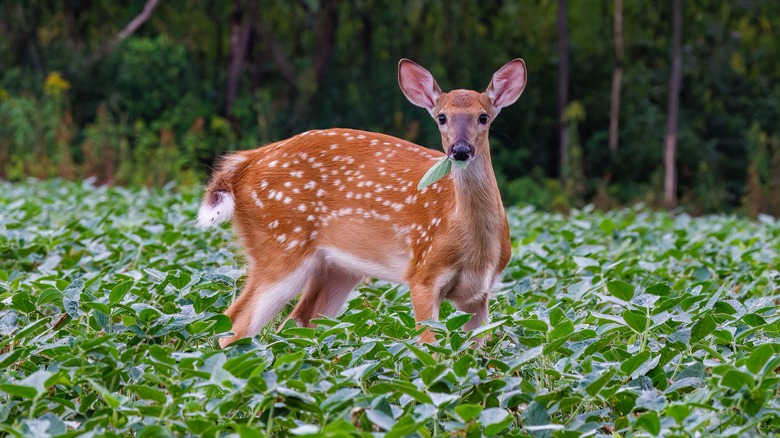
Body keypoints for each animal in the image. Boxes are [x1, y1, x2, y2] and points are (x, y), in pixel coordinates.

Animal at [200, 58, 532, 348]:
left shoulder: (479, 294)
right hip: (280, 244)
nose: (460, 150)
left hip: (336, 268)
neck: (474, 246)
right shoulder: (423, 273)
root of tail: (244, 163)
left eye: (483, 117)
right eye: (441, 117)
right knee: (236, 324)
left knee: (295, 323)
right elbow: (429, 348)